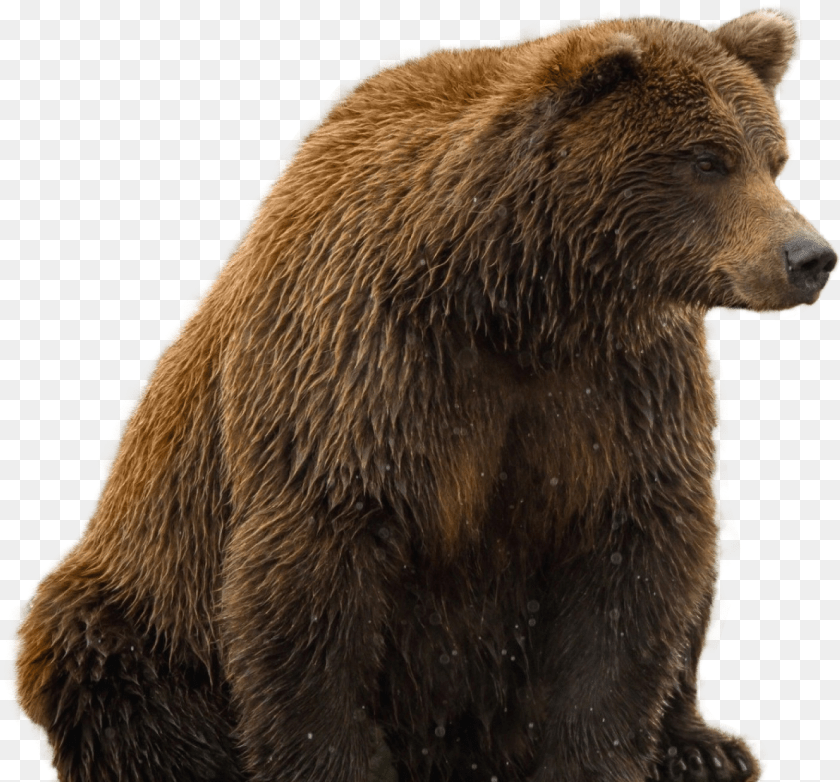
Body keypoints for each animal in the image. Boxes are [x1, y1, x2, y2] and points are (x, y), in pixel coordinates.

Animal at [16, 9, 836, 782]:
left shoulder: (620, 388)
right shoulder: (363, 372)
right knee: (110, 667)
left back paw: (703, 745)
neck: (520, 301)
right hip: (141, 604)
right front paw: (337, 763)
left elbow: (633, 564)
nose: (809, 257)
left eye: (774, 159)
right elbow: (314, 586)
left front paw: (598, 757)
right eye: (707, 159)